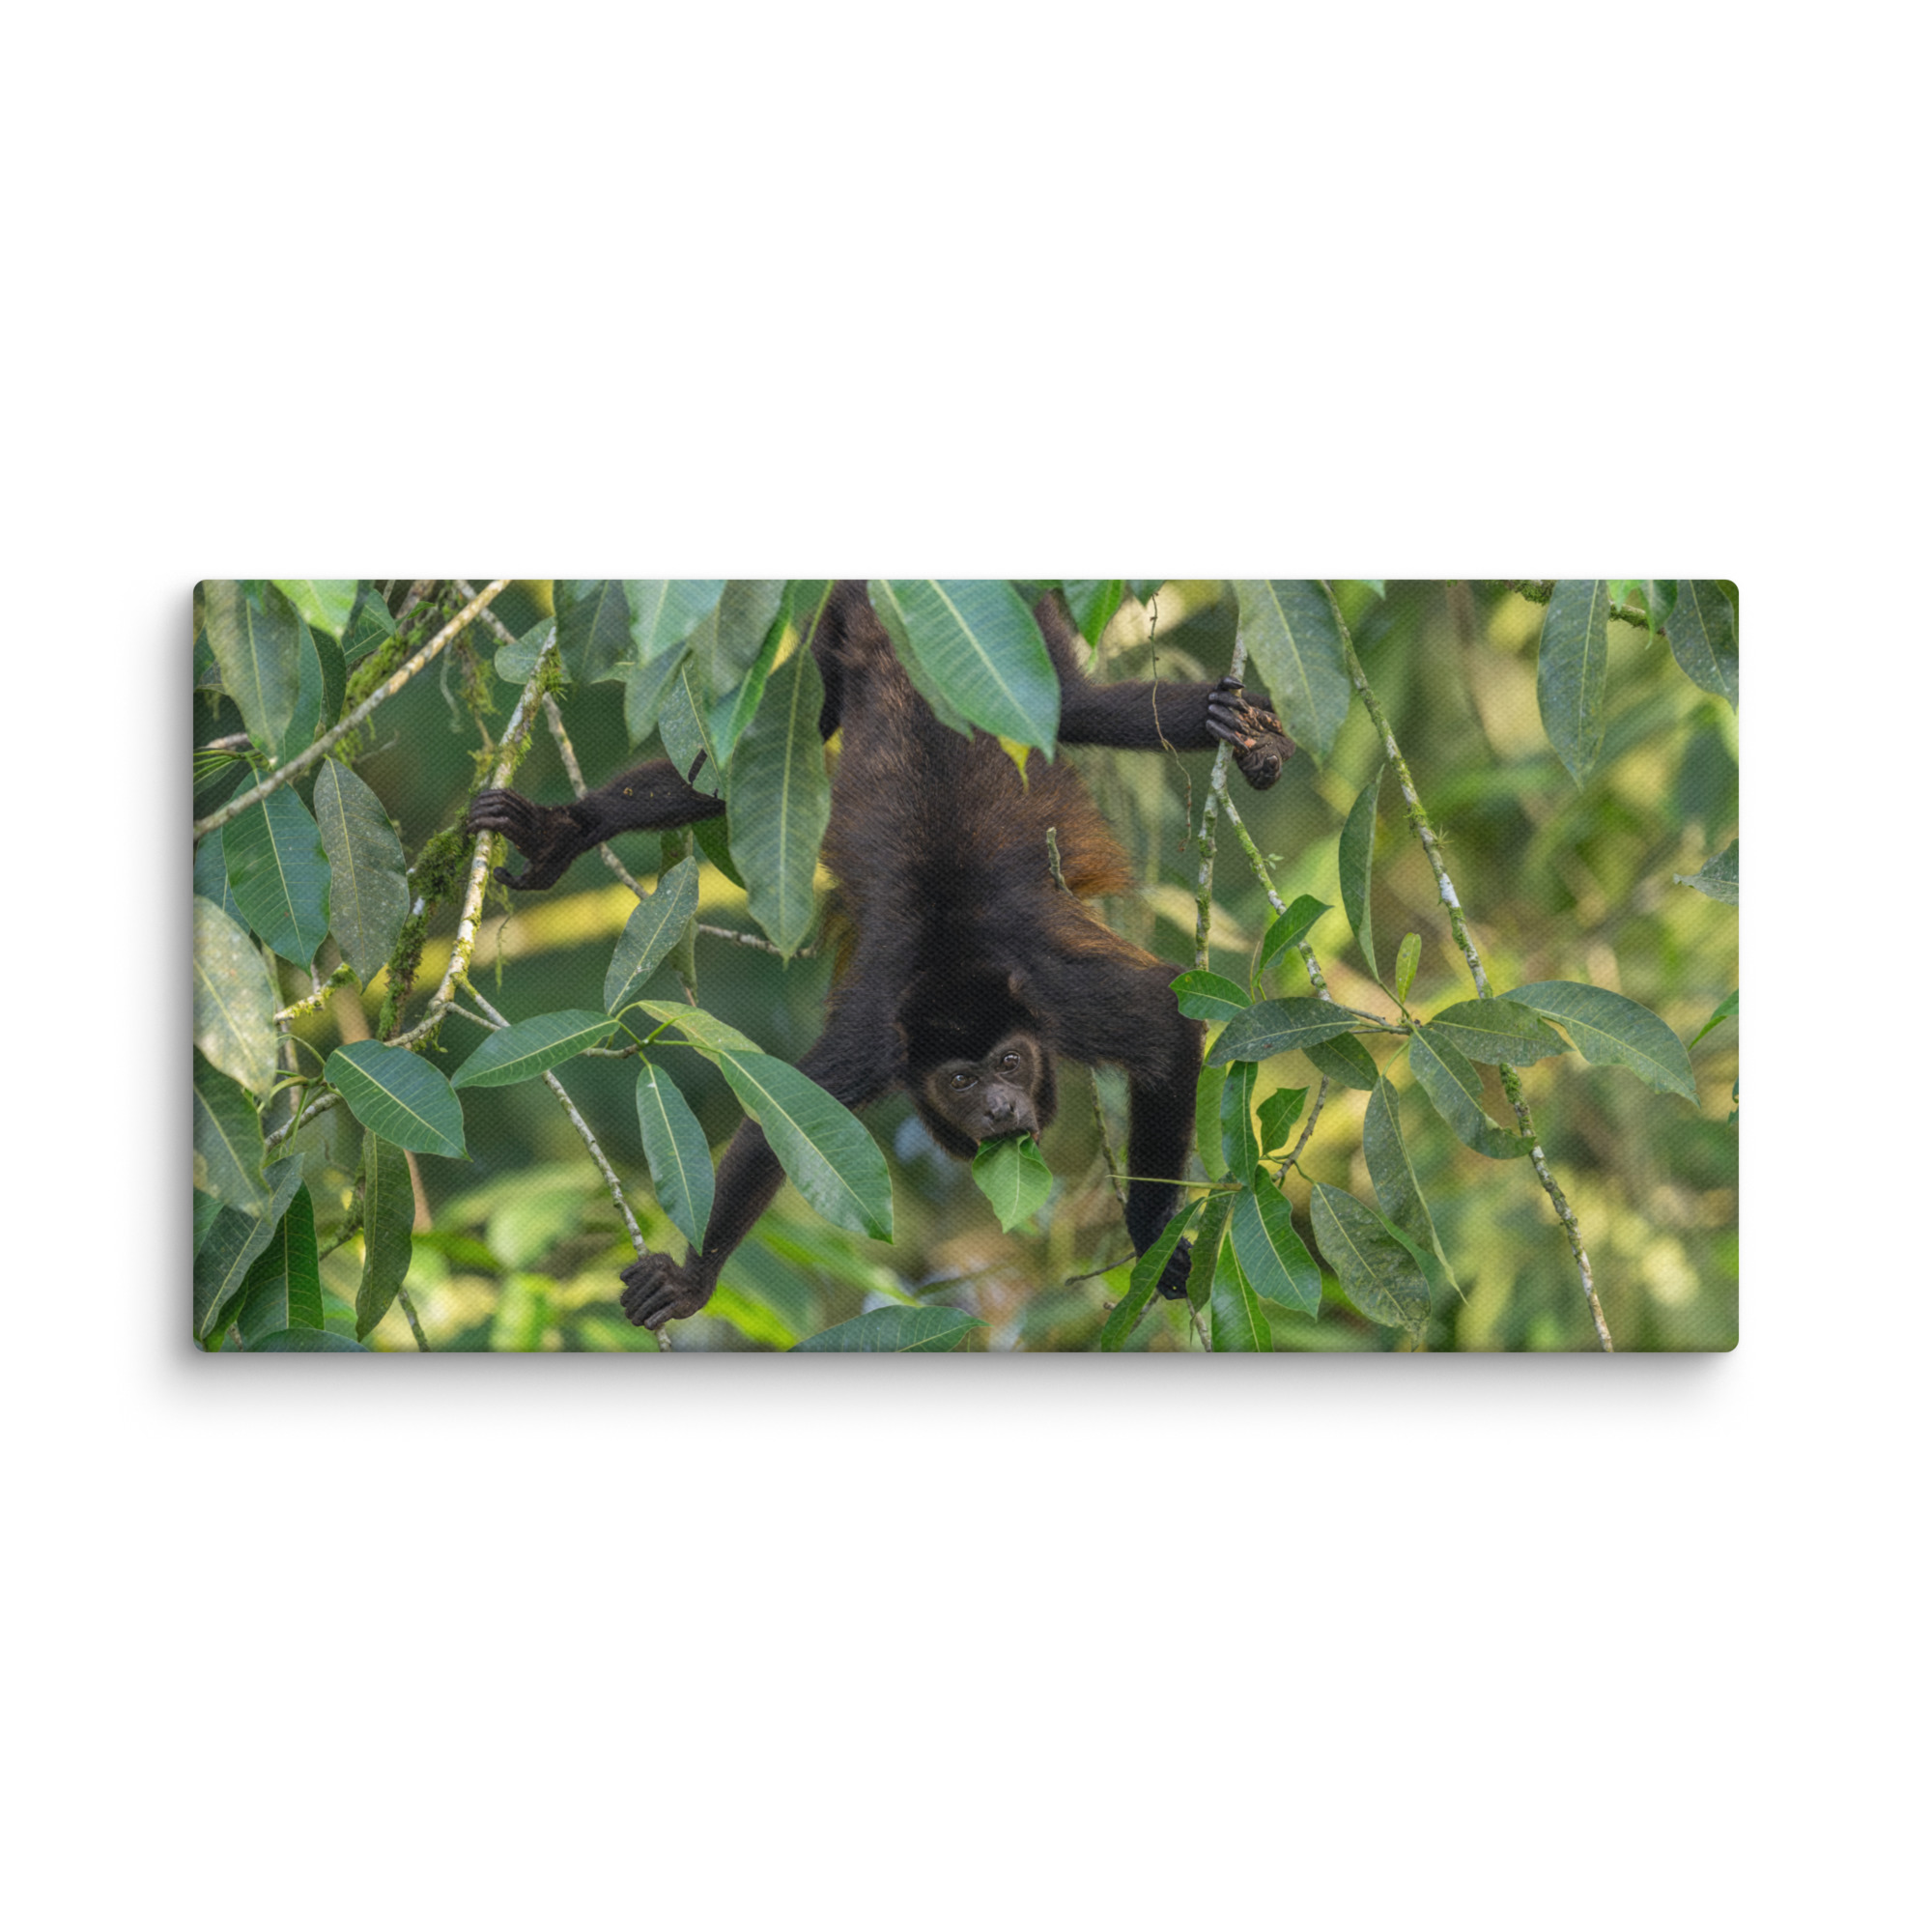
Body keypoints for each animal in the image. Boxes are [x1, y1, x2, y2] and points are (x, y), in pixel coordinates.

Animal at [466, 582, 1291, 1329]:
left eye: (1011, 1062)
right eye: (961, 1081)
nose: (999, 1108)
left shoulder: (1060, 997)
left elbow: (1165, 1022)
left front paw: (1152, 1237)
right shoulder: (877, 1039)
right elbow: (786, 1117)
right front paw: (693, 1281)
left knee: (1081, 709)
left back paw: (1247, 737)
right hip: (834, 634)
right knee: (766, 744)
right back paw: (566, 830)